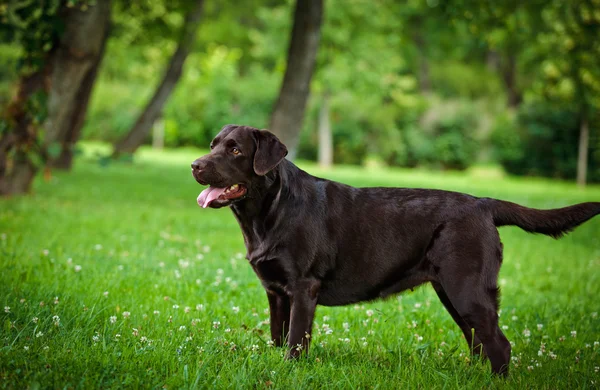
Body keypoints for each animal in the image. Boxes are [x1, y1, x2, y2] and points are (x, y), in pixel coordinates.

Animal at [191, 124, 600, 374]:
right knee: (478, 342)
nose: (195, 165)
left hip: (466, 288)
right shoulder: (276, 292)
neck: (268, 212)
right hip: (452, 292)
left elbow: (295, 342)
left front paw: (290, 370)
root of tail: (483, 203)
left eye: (235, 149)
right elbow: (279, 337)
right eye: (212, 145)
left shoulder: (304, 288)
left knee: (499, 344)